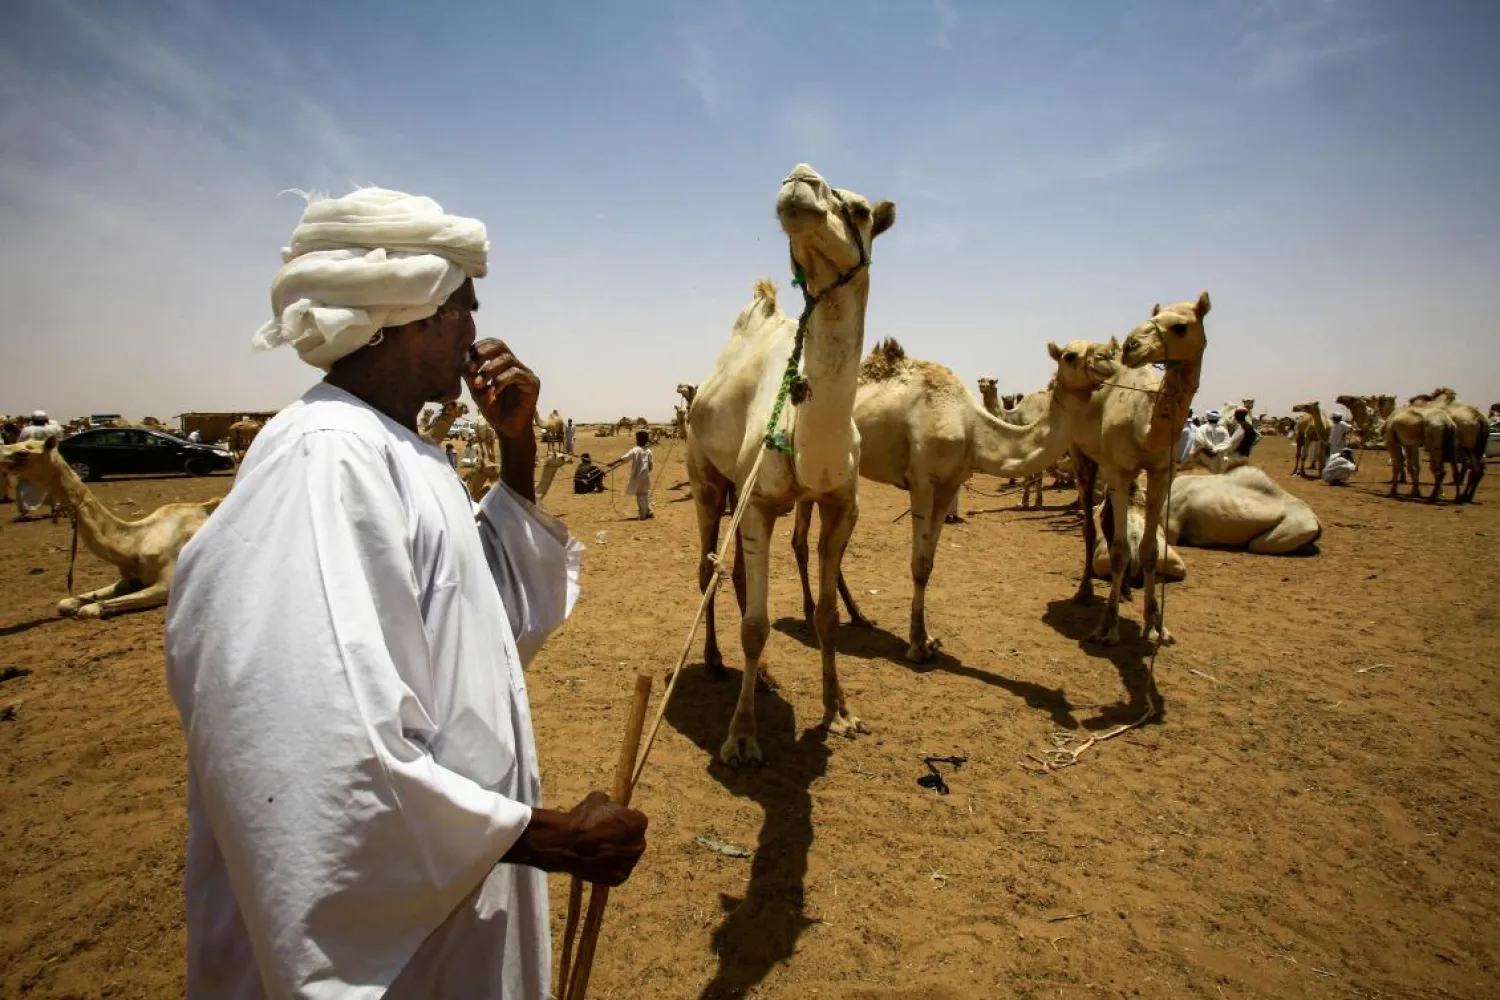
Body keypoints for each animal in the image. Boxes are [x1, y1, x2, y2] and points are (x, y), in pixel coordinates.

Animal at [2, 437, 220, 618]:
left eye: (23, 452)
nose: (1, 454)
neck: (135, 543)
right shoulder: (127, 578)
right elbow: (66, 602)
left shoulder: (168, 582)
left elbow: (89, 609)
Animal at [686, 163, 895, 767]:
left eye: (861, 211)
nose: (800, 179)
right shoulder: (759, 503)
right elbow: (756, 626)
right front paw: (741, 737)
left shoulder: (841, 505)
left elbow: (825, 616)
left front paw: (840, 711)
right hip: (707, 478)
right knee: (708, 567)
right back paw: (715, 662)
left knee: (732, 571)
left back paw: (762, 676)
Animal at [793, 337, 1113, 661]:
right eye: (1070, 356)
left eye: (1103, 348)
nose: (1108, 358)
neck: (971, 428)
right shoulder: (922, 481)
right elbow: (918, 564)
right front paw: (917, 645)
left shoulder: (949, 485)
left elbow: (929, 564)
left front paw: (926, 638)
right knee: (801, 541)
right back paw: (810, 611)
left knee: (826, 547)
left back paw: (858, 615)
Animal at [1059, 293, 1211, 646]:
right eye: (1153, 317)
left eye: (1181, 326)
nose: (1131, 345)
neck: (1145, 426)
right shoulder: (1119, 469)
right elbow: (1117, 550)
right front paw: (1107, 626)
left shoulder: (1161, 474)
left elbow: (1150, 549)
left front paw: (1156, 625)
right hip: (1082, 455)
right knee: (1091, 526)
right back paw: (1085, 591)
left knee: (1108, 521)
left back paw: (1127, 590)